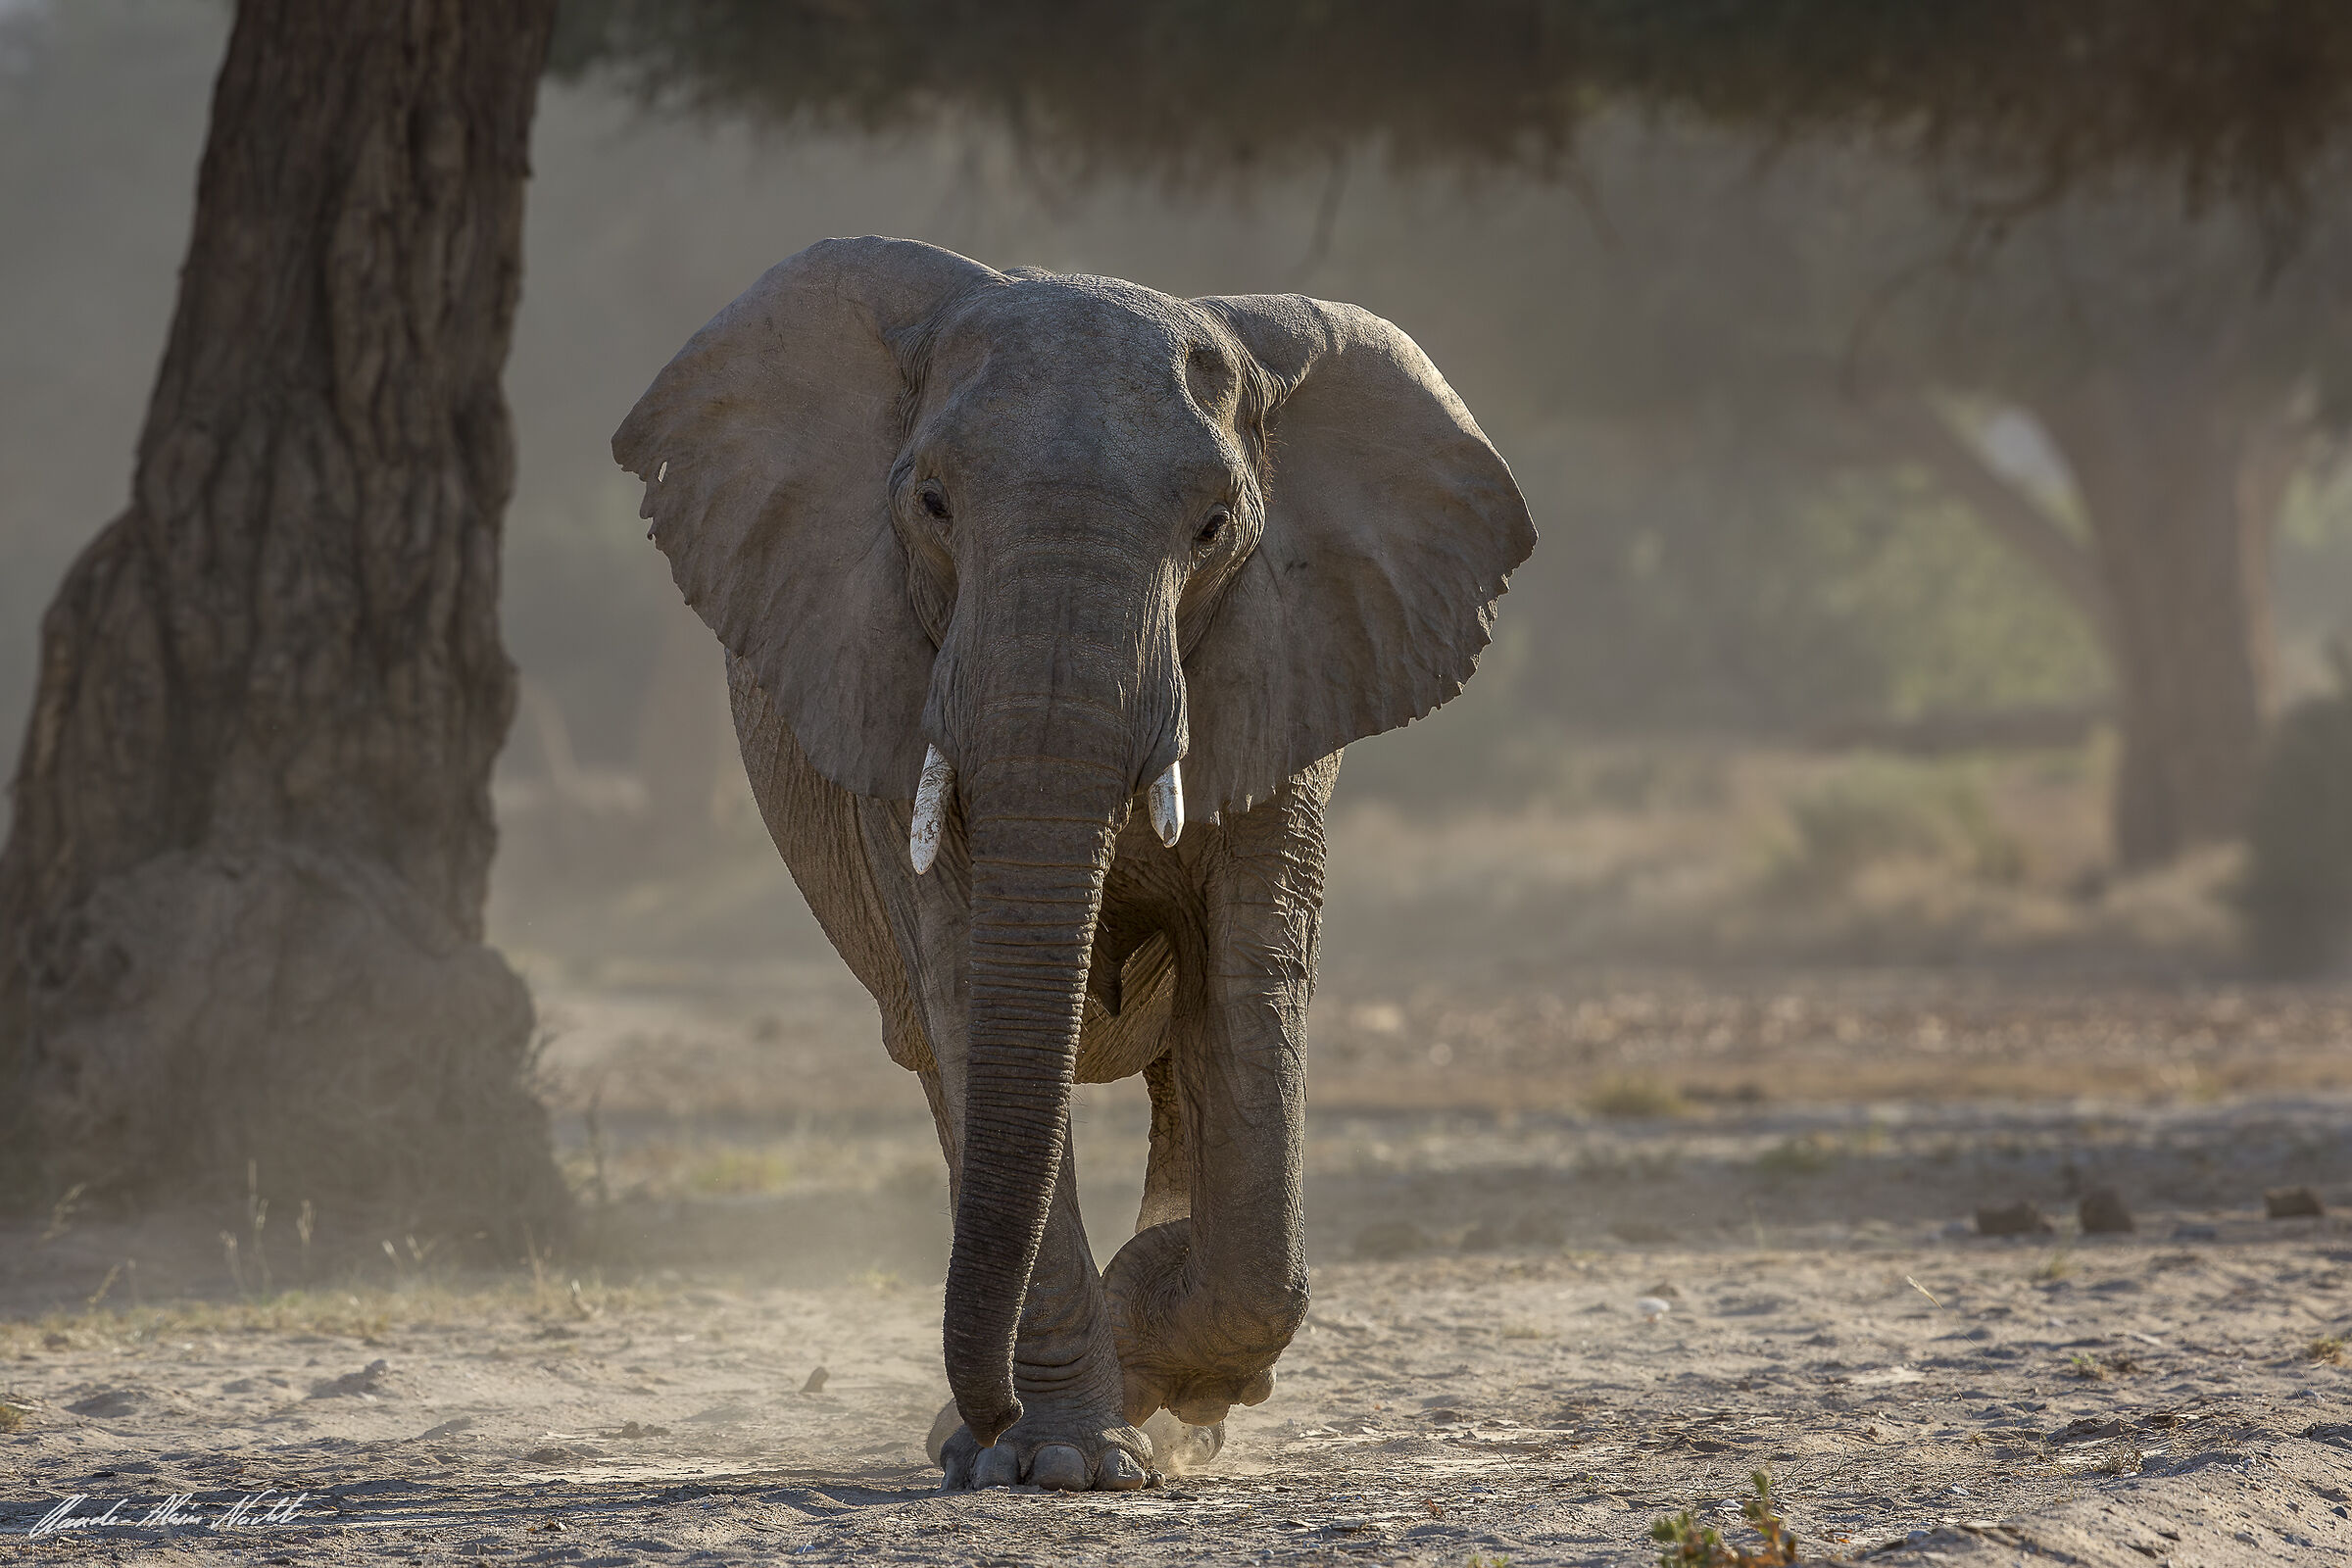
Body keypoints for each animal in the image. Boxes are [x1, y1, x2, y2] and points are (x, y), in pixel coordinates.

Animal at [612, 237, 1534, 1491]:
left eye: (1214, 529)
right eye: (932, 504)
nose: (983, 1423)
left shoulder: (1287, 670)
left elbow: (1247, 989)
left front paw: (1151, 1343)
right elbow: (968, 990)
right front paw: (1068, 1462)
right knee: (951, 1071)